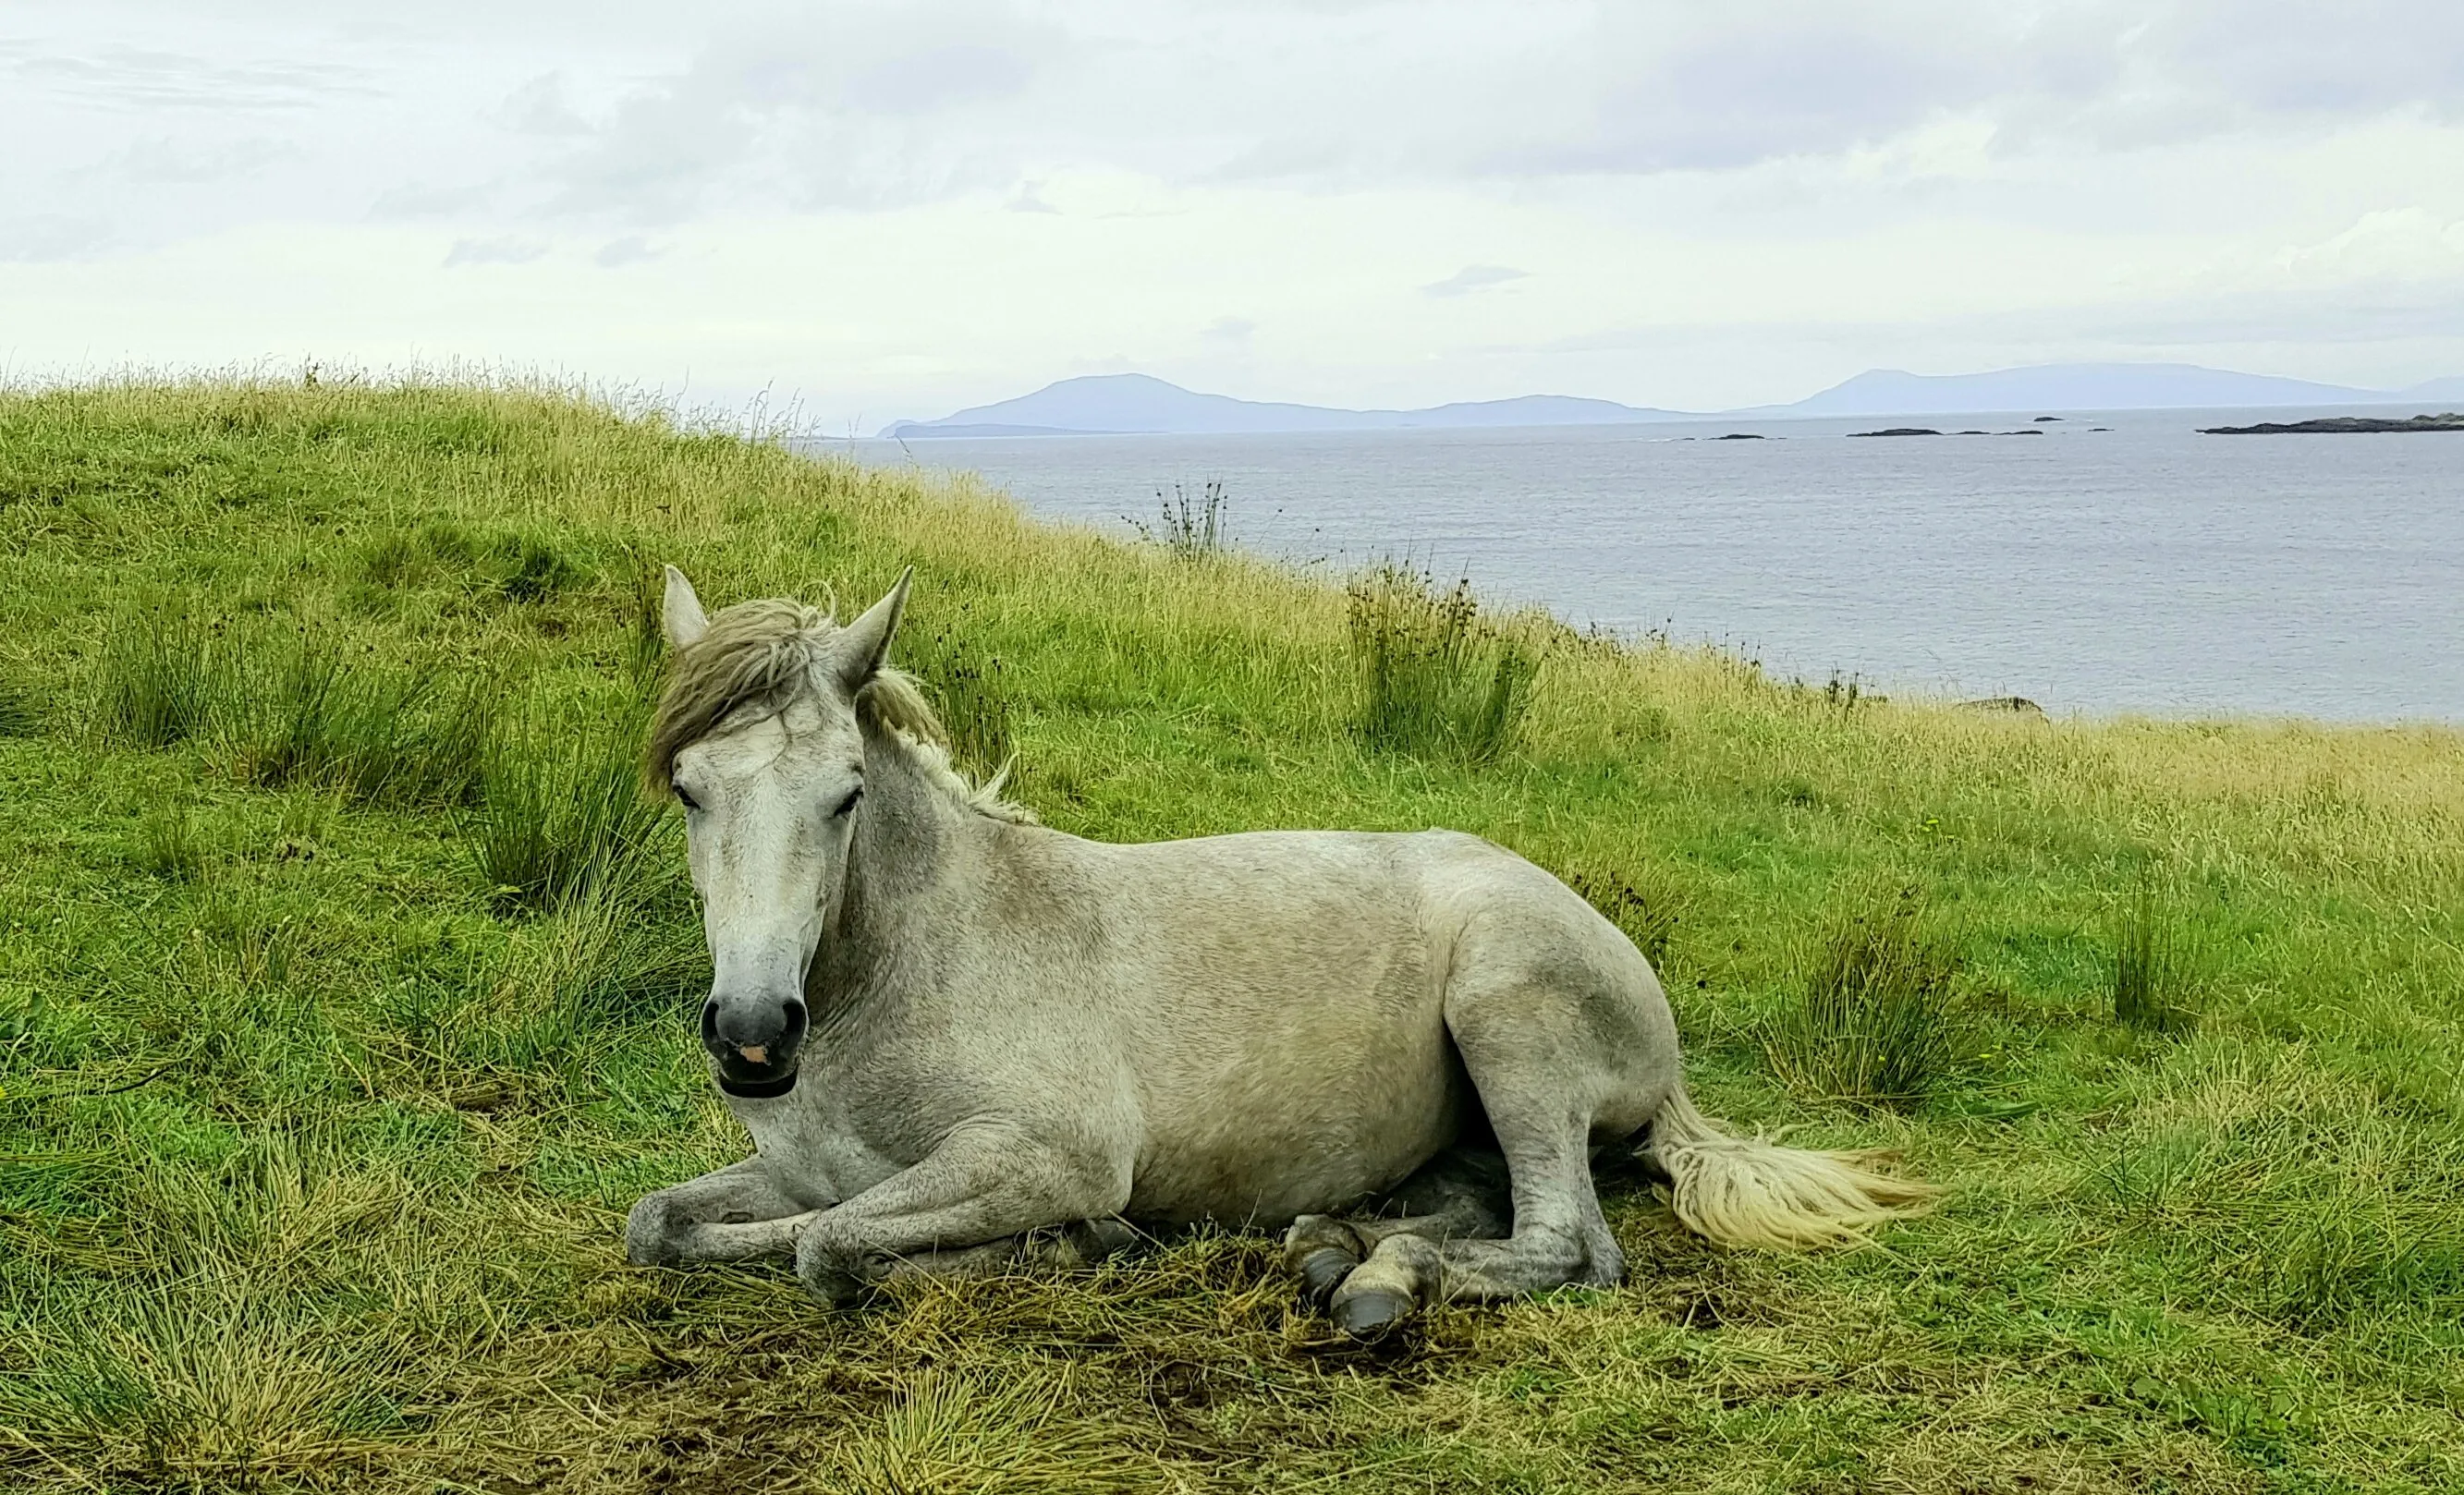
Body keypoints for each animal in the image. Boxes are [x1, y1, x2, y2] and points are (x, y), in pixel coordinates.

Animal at [623, 567, 1934, 1335]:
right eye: (687, 787)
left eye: (844, 793)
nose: (753, 1038)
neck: (913, 966)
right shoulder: (802, 1170)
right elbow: (666, 1226)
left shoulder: (1040, 1154)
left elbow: (831, 1247)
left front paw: (1070, 1246)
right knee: (1479, 1203)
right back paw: (1332, 1246)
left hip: (1504, 1008)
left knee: (1568, 1244)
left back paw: (1380, 1285)